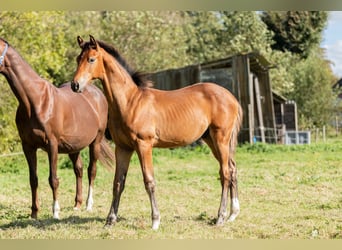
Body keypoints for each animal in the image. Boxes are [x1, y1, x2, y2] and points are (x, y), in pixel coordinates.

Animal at [0, 38, 115, 220]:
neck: (36, 101)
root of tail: (97, 92)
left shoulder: (52, 145)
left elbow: (53, 179)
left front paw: (55, 212)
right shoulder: (28, 146)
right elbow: (33, 179)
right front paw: (34, 213)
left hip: (95, 142)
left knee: (92, 170)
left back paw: (88, 205)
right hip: (73, 146)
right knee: (79, 169)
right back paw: (77, 204)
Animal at [71, 35, 242, 230]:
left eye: (91, 59)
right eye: (78, 59)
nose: (75, 85)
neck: (130, 102)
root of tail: (231, 97)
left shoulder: (144, 145)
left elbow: (149, 181)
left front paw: (155, 220)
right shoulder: (123, 148)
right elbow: (118, 183)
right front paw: (110, 220)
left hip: (221, 138)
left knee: (225, 173)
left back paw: (220, 217)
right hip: (212, 140)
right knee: (232, 168)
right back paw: (233, 214)